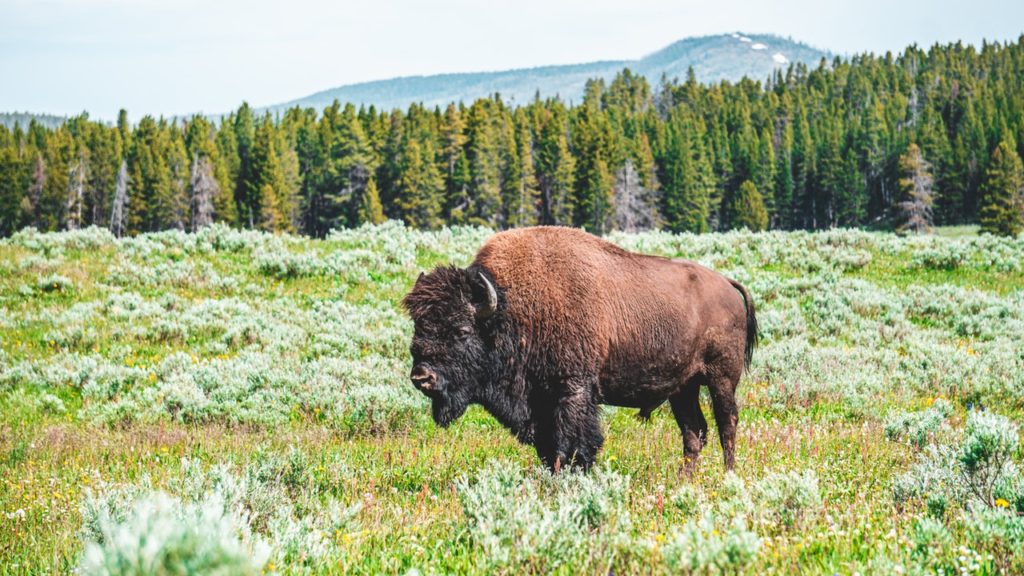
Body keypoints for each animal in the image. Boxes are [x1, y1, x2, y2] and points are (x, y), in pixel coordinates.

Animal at [402, 226, 757, 473]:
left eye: (461, 330)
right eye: (418, 327)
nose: (422, 377)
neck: (509, 309)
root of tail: (727, 284)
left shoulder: (572, 391)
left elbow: (572, 443)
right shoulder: (541, 403)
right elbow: (549, 448)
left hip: (721, 379)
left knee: (727, 423)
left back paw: (728, 476)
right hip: (683, 388)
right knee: (693, 432)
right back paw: (686, 480)